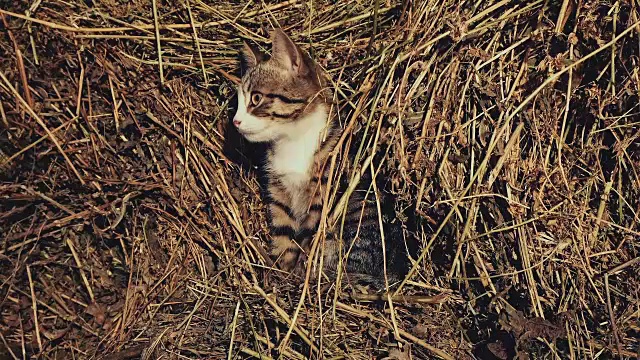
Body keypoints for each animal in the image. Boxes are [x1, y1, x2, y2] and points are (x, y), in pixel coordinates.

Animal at [232, 28, 412, 286]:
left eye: (256, 98)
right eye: (238, 102)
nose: (235, 121)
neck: (292, 142)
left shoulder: (322, 192)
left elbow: (310, 237)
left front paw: (300, 272)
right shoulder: (278, 192)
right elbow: (283, 231)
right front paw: (282, 268)